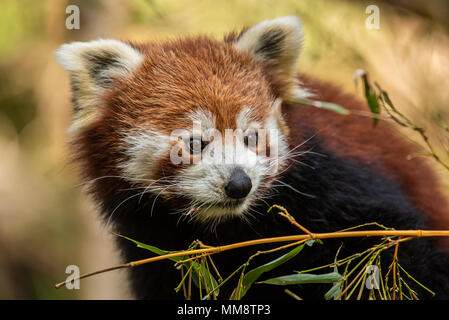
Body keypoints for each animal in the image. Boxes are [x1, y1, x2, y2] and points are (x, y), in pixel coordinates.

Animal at [56, 16, 448, 298]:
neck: (229, 227)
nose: (239, 184)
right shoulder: (155, 246)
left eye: (252, 138)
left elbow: (398, 251)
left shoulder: (340, 184)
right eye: (195, 143)